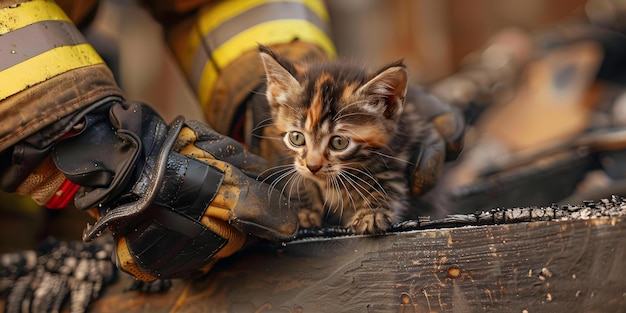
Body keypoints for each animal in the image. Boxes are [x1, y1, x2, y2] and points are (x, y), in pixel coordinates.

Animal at [256, 45, 426, 233]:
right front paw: (305, 209)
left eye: (339, 142)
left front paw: (371, 213)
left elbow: (387, 184)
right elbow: (298, 177)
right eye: (297, 137)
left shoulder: (397, 153)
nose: (312, 166)